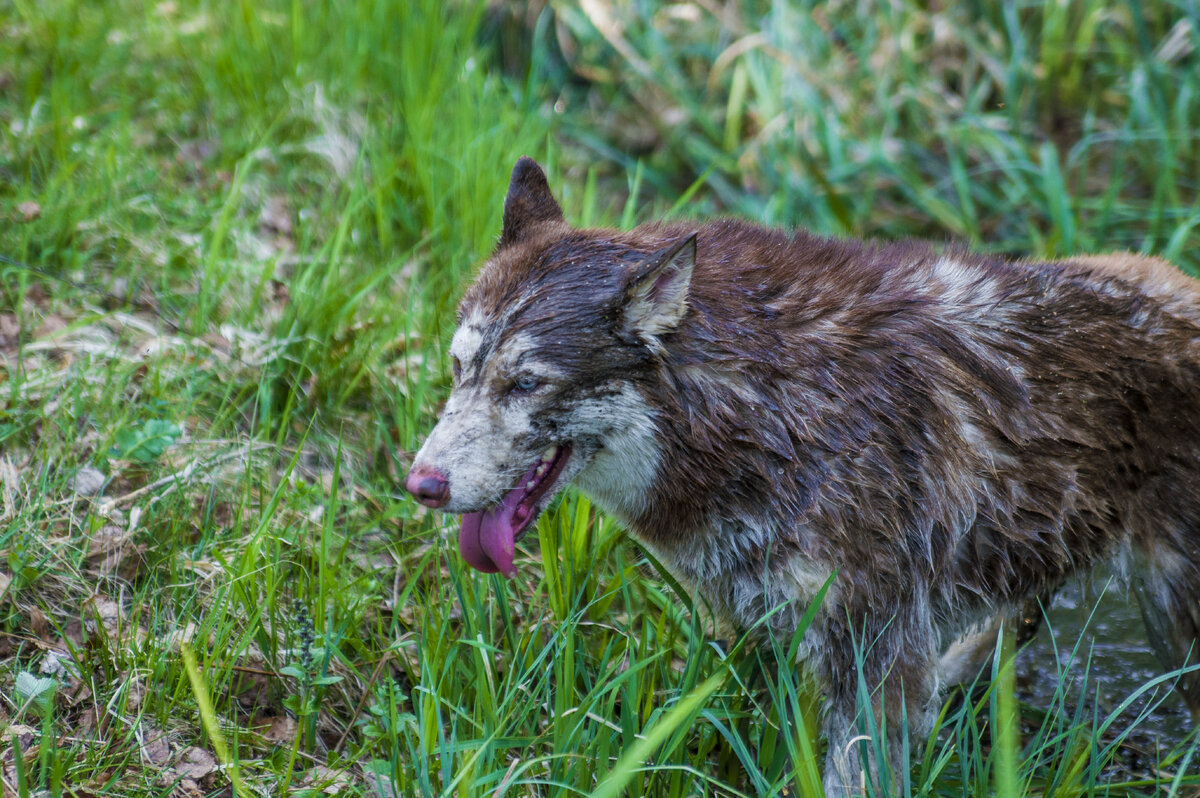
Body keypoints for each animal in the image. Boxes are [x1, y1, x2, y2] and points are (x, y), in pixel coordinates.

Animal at [408, 156, 1200, 792]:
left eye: (525, 384)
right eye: (459, 368)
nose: (422, 485)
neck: (767, 407)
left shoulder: (871, 654)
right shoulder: (756, 626)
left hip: (1175, 623)